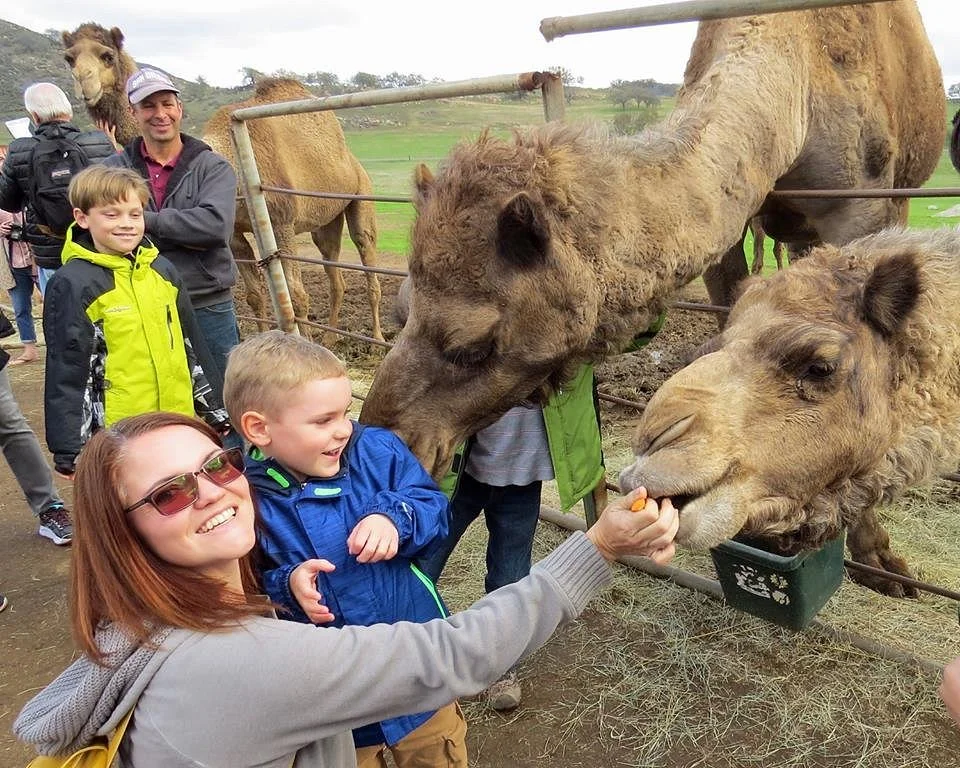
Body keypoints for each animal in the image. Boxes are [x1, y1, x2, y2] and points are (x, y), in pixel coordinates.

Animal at [60, 25, 383, 344]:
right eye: (69, 58)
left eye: (107, 55)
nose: (84, 83)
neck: (234, 160)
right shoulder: (234, 233)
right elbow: (254, 295)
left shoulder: (281, 221)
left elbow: (297, 296)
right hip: (325, 221)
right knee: (334, 270)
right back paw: (330, 338)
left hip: (360, 195)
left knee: (366, 255)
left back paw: (376, 337)